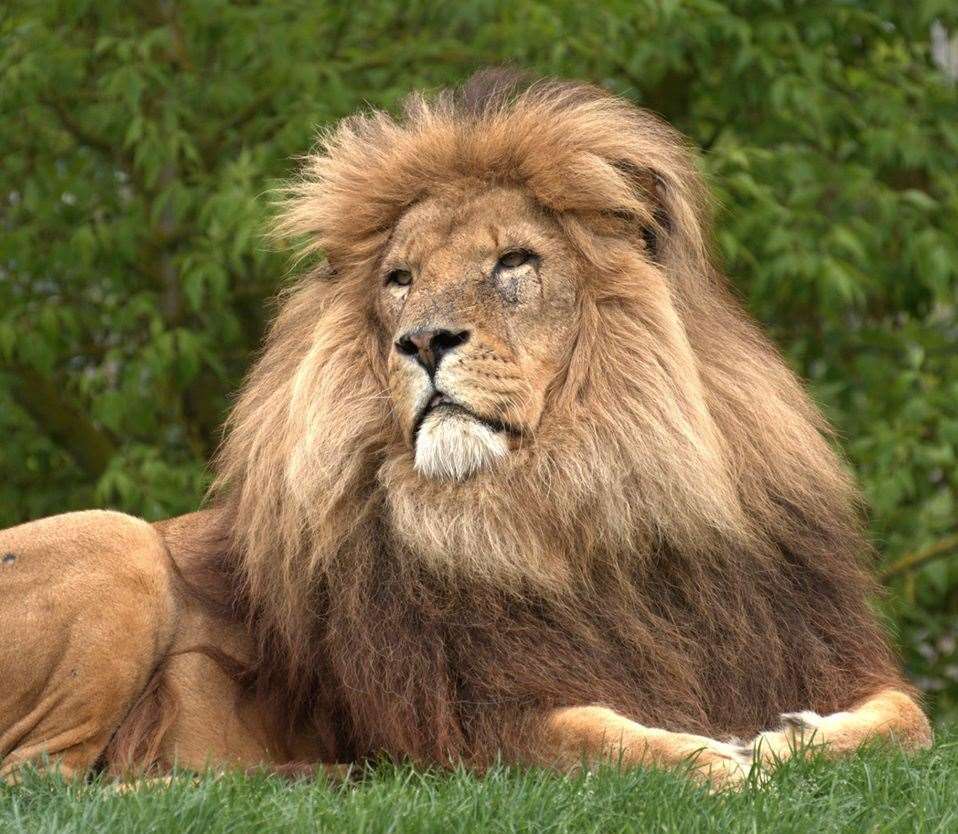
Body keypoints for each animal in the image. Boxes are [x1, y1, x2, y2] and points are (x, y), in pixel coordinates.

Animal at [0, 71, 928, 788]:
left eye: (513, 261)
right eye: (401, 279)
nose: (422, 341)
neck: (569, 502)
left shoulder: (816, 648)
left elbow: (908, 718)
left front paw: (790, 738)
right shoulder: (468, 719)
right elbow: (599, 741)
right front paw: (720, 758)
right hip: (117, 540)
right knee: (49, 781)